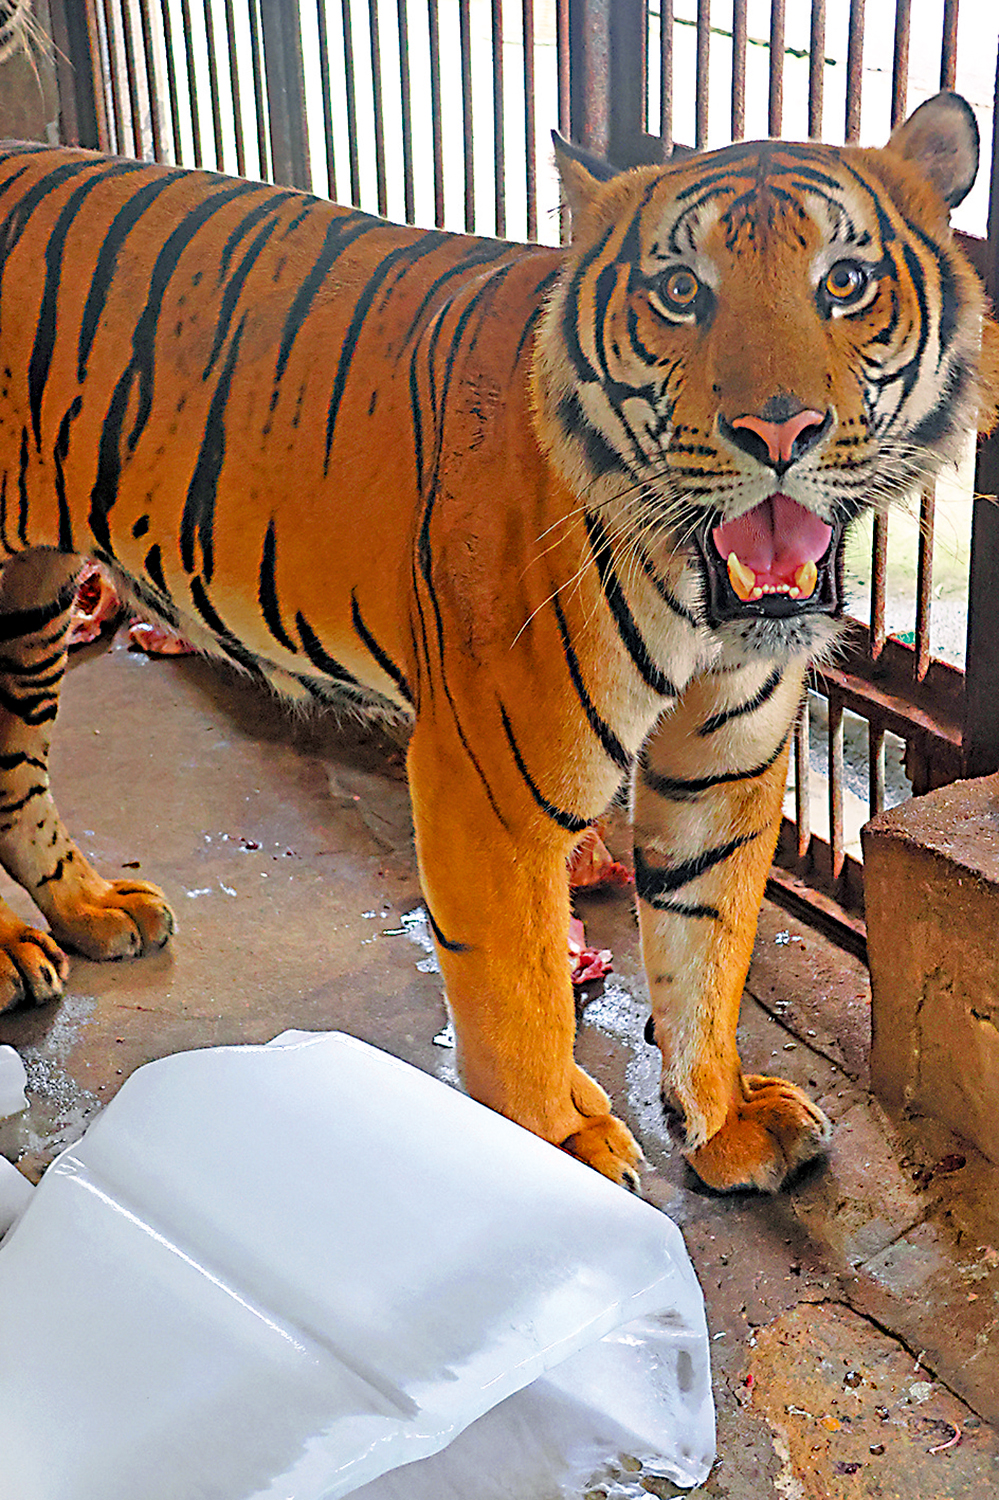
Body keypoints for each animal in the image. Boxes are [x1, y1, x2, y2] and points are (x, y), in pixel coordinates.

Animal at [0, 90, 995, 1194]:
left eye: (845, 283)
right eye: (681, 292)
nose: (780, 432)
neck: (699, 595)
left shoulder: (725, 765)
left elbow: (709, 951)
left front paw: (725, 1120)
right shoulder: (489, 785)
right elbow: (520, 1000)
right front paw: (555, 1156)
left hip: (30, 599)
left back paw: (93, 912)